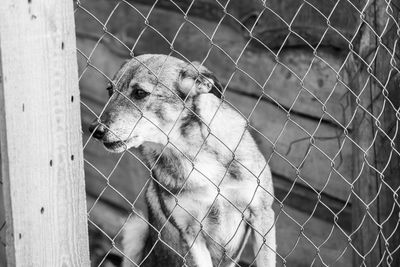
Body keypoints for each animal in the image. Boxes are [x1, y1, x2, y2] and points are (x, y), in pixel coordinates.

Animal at [89, 53, 276, 266]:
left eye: (139, 93)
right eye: (110, 90)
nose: (94, 129)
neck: (193, 153)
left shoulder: (262, 214)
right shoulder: (191, 233)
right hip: (135, 229)